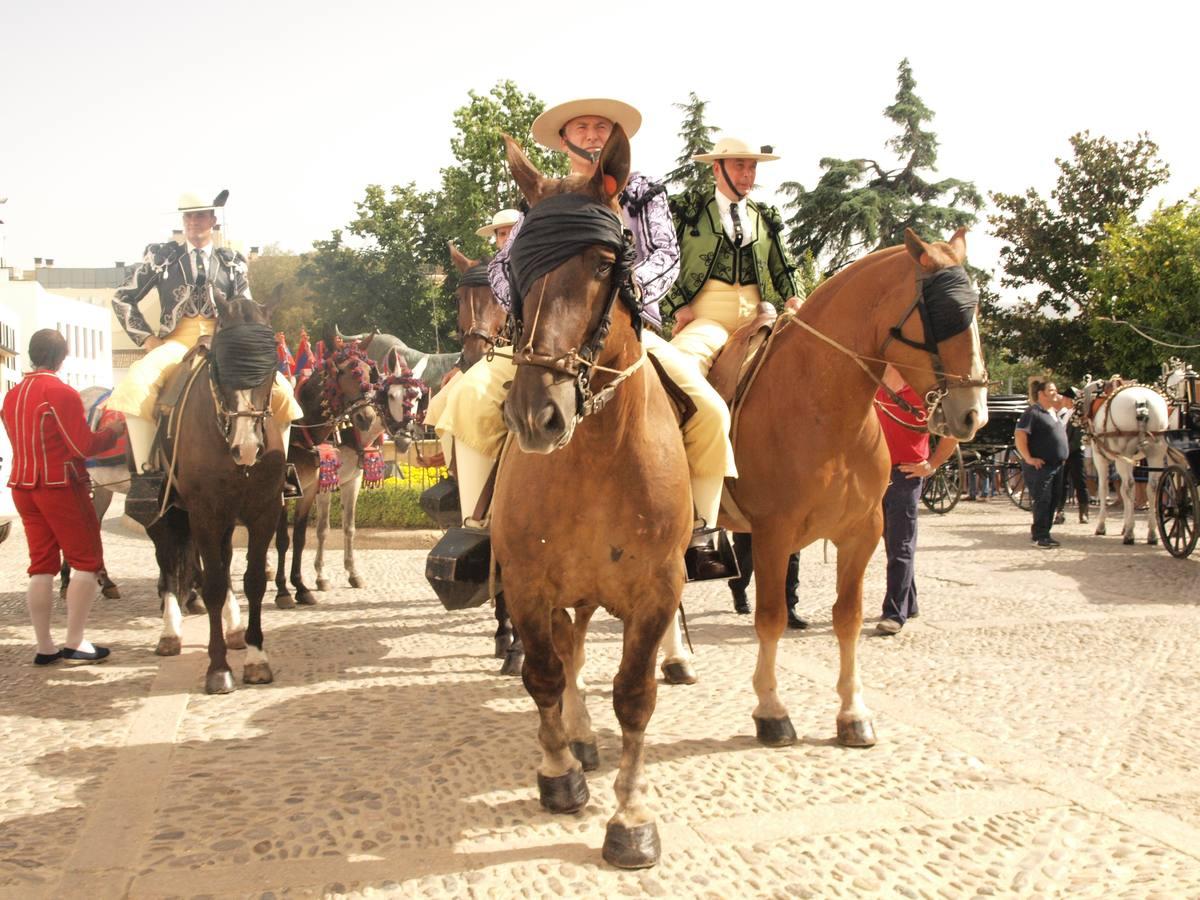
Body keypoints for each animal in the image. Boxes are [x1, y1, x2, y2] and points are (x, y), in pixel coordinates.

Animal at [150, 300, 288, 696]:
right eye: (219, 367)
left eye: (270, 366)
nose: (247, 447)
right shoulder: (205, 515)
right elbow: (210, 583)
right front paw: (218, 668)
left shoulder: (263, 512)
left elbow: (253, 580)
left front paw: (257, 659)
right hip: (168, 514)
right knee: (169, 566)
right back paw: (170, 633)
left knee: (223, 563)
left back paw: (235, 629)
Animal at [489, 128, 696, 873]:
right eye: (518, 261)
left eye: (606, 259)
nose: (536, 413)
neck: (597, 456)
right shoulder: (528, 583)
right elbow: (546, 676)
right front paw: (558, 772)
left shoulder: (656, 588)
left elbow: (634, 697)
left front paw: (631, 816)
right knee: (569, 657)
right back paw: (575, 739)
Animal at [724, 230, 988, 748]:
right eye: (942, 312)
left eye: (976, 311)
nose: (975, 415)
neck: (819, 407)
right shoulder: (772, 535)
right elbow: (771, 617)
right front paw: (771, 709)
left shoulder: (862, 533)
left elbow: (847, 618)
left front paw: (852, 712)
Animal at [1084, 379, 1166, 547]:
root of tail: (1141, 401)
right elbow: (1122, 490)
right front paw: (1126, 524)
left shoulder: (1100, 458)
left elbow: (1104, 489)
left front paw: (1102, 526)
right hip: (1156, 452)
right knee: (1152, 487)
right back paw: (1152, 533)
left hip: (1123, 454)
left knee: (1129, 486)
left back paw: (1129, 535)